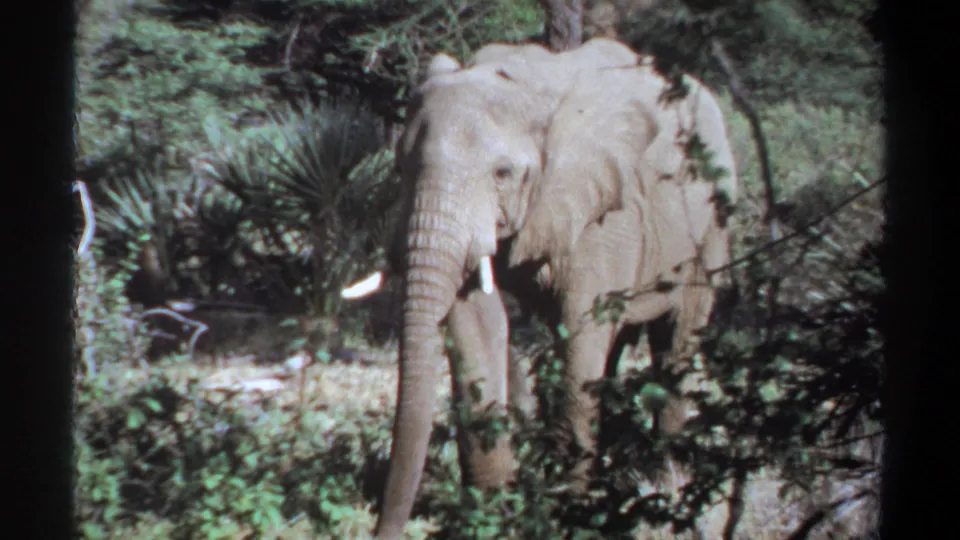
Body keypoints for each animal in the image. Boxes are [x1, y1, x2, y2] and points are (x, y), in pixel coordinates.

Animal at [344, 37, 739, 539]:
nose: (379, 528)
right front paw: (489, 514)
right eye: (399, 166)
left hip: (712, 225)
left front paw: (569, 515)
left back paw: (671, 492)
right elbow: (476, 323)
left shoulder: (605, 214)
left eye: (502, 174)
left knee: (676, 341)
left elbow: (582, 333)